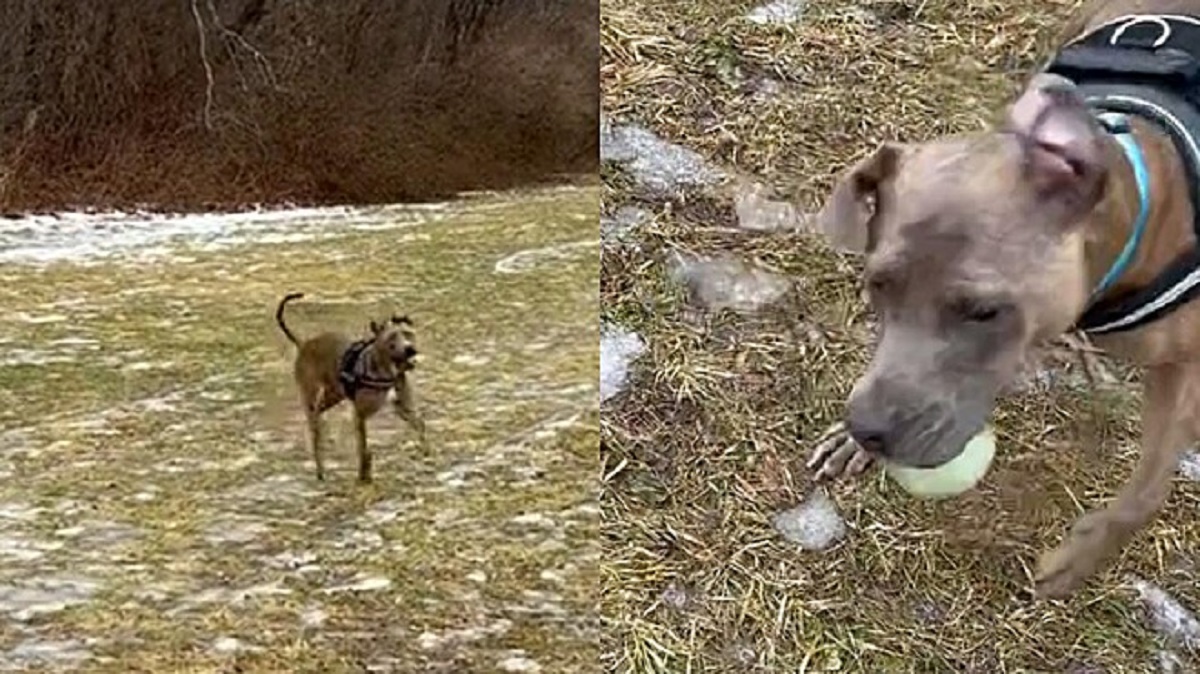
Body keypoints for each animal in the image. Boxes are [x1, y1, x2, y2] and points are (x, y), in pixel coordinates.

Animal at [274, 291, 424, 479]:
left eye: (408, 334)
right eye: (391, 337)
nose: (410, 349)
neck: (384, 369)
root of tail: (304, 344)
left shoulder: (405, 407)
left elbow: (420, 425)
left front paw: (426, 451)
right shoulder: (360, 415)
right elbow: (363, 448)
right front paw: (364, 473)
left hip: (333, 394)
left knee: (319, 415)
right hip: (312, 395)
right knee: (314, 428)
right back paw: (320, 466)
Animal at [806, 1, 1200, 597]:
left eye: (984, 311)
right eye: (878, 284)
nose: (870, 430)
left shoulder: (1184, 368)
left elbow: (1146, 492)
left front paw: (1079, 557)